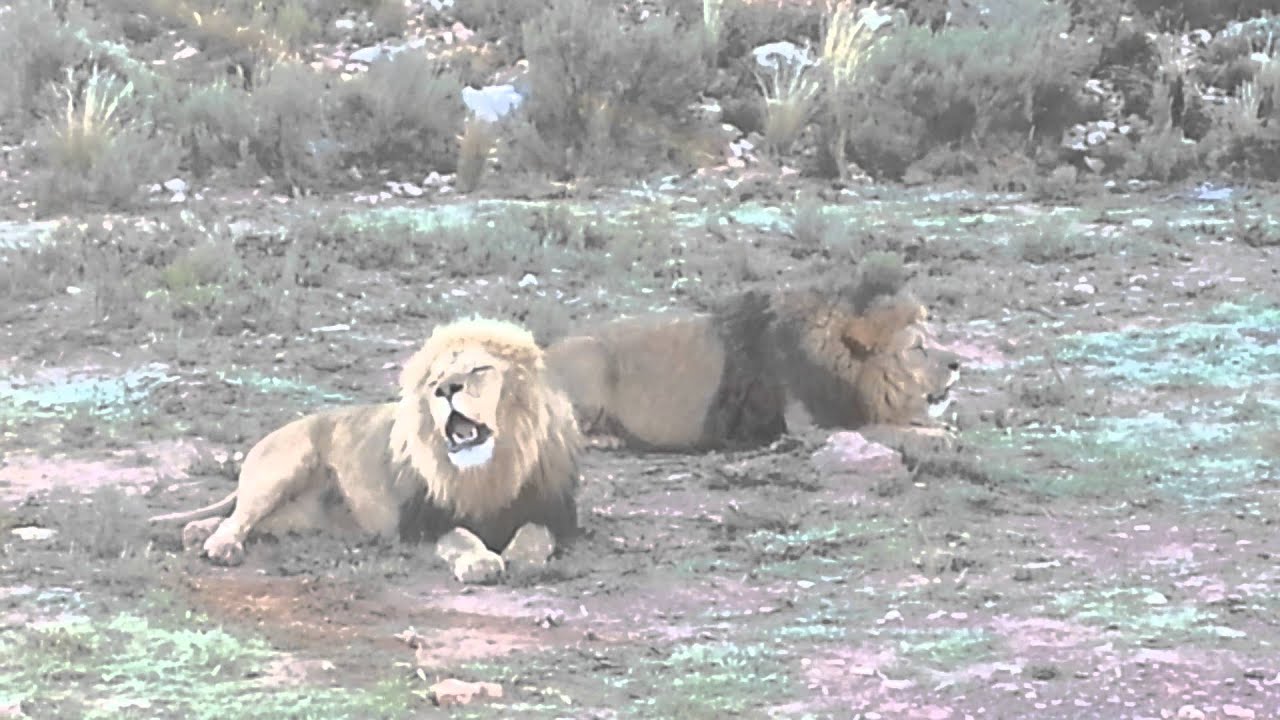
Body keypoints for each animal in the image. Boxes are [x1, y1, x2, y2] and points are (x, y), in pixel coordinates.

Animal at [148, 317, 582, 582]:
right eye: (435, 381)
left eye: (479, 370)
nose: (445, 389)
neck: (490, 471)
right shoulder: (423, 523)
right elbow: (461, 535)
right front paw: (481, 561)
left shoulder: (555, 514)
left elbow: (535, 533)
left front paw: (520, 555)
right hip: (283, 468)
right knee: (238, 518)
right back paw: (218, 545)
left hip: (300, 517)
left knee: (244, 520)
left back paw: (196, 532)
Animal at [544, 287, 960, 452]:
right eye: (917, 348)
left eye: (935, 337)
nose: (958, 363)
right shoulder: (811, 427)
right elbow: (884, 430)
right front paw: (937, 435)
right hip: (591, 357)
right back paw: (609, 438)